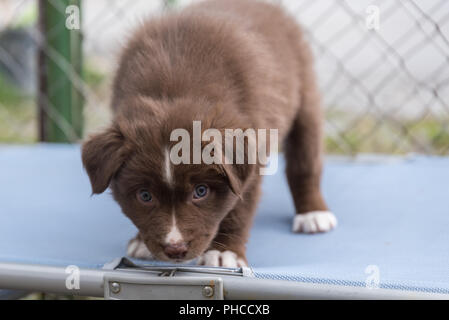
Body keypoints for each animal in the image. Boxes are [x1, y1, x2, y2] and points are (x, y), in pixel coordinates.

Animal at [81, 0, 336, 268]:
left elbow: (239, 207)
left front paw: (224, 252)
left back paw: (312, 213)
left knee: (304, 160)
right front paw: (141, 241)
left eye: (201, 191)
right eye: (145, 195)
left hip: (305, 93)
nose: (175, 249)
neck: (172, 93)